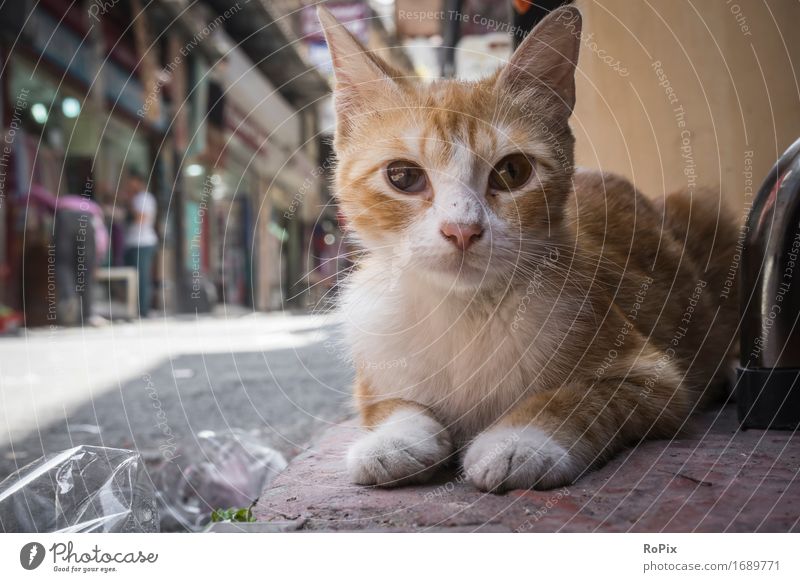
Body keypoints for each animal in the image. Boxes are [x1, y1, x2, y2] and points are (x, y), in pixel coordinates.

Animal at [318, 5, 736, 492]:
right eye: (403, 176)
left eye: (512, 171)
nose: (462, 230)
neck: (466, 312)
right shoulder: (374, 371)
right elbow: (390, 404)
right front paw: (393, 440)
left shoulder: (653, 376)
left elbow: (584, 395)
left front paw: (519, 441)